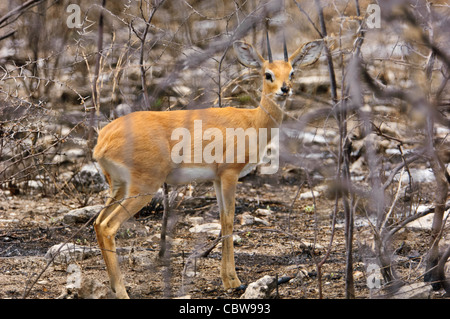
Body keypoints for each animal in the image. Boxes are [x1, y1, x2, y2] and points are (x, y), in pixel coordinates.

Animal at [92, 35, 324, 300]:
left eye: (292, 72)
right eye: (268, 74)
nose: (285, 89)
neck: (253, 121)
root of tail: (103, 141)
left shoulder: (215, 178)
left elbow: (223, 219)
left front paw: (228, 279)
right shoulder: (230, 174)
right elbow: (229, 220)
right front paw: (233, 281)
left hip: (118, 186)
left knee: (98, 223)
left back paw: (113, 287)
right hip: (143, 188)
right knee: (108, 226)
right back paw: (122, 291)